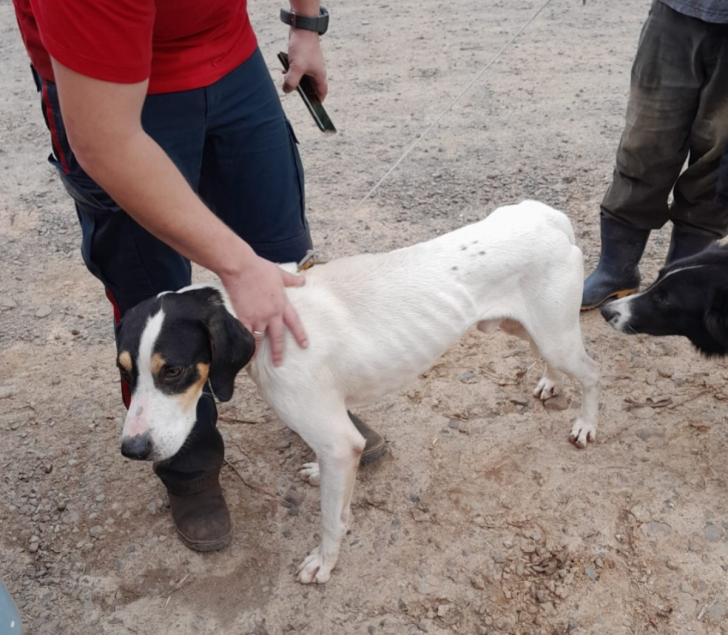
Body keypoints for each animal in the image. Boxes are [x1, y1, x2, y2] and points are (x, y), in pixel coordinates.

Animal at [116, 202, 600, 588]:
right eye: (125, 372)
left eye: (174, 370)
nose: (132, 449)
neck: (262, 320)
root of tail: (545, 216)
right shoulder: (333, 436)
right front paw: (316, 475)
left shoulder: (339, 444)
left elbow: (332, 519)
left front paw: (323, 564)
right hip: (525, 327)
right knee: (548, 358)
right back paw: (550, 383)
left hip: (556, 334)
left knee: (592, 374)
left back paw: (586, 424)